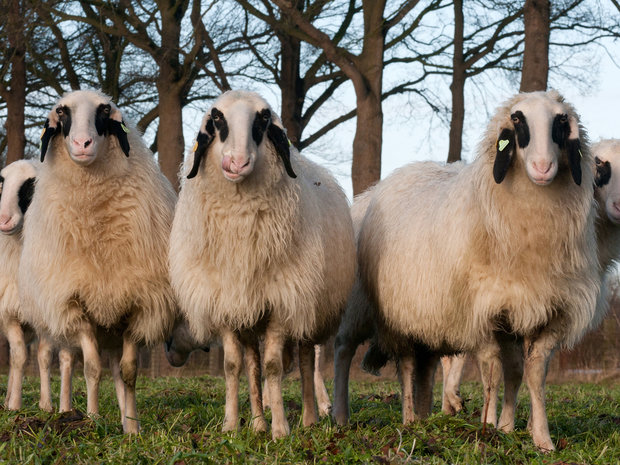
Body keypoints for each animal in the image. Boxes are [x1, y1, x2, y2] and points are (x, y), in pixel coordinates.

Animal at [18, 89, 177, 432]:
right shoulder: (76, 304)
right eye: (62, 112)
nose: (82, 144)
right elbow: (91, 369)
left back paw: (125, 418)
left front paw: (132, 428)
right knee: (71, 361)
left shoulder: (136, 305)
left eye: (104, 111)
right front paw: (91, 419)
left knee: (117, 369)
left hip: (114, 324)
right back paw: (68, 410)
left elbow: (129, 372)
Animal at [168, 90, 354, 438]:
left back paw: (309, 418)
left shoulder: (282, 302)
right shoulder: (227, 305)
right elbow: (233, 366)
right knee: (253, 363)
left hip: (307, 308)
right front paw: (231, 425)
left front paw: (280, 430)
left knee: (306, 361)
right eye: (217, 118)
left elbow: (273, 367)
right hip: (251, 316)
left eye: (263, 119)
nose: (236, 163)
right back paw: (256, 424)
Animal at [344, 90, 600, 450]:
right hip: (399, 316)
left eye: (561, 121)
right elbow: (491, 371)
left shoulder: (545, 311)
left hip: (430, 320)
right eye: (517, 119)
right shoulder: (482, 311)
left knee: (425, 369)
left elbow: (529, 374)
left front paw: (535, 436)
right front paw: (488, 428)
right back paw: (408, 420)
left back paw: (424, 417)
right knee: (406, 367)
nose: (542, 167)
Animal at [438, 137, 620, 428]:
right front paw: (494, 424)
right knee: (453, 354)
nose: (619, 207)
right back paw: (452, 401)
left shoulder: (555, 307)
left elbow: (533, 368)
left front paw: (526, 425)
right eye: (601, 165)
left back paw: (450, 406)